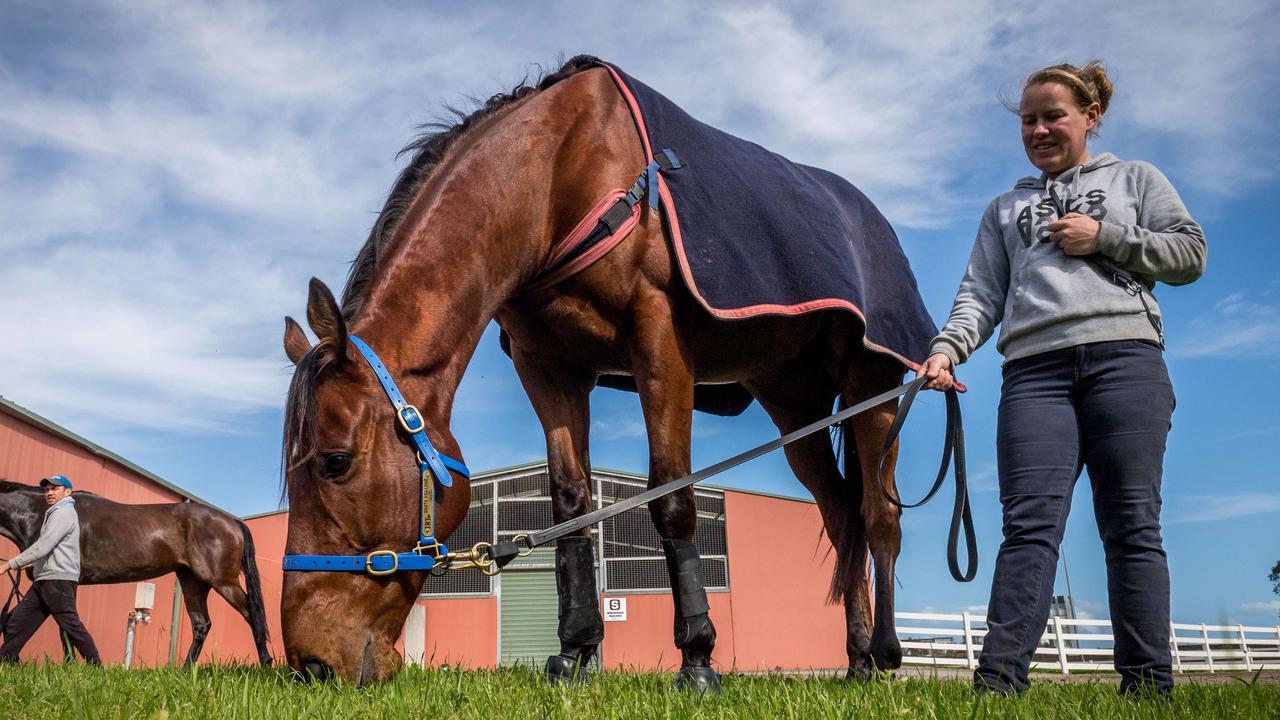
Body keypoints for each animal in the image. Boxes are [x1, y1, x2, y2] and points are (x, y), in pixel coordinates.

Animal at [0, 479, 270, 666]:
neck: (41, 515)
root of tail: (232, 522)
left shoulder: (65, 581)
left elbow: (63, 625)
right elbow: (20, 619)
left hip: (222, 581)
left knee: (251, 613)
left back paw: (266, 664)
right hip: (193, 582)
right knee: (201, 624)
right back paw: (184, 671)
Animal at [281, 56, 921, 681]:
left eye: (335, 462)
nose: (310, 663)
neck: (557, 175)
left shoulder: (659, 343)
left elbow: (671, 498)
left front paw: (697, 655)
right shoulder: (551, 366)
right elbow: (572, 505)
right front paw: (576, 649)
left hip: (874, 384)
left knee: (879, 514)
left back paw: (886, 653)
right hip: (794, 404)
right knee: (841, 516)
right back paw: (857, 658)